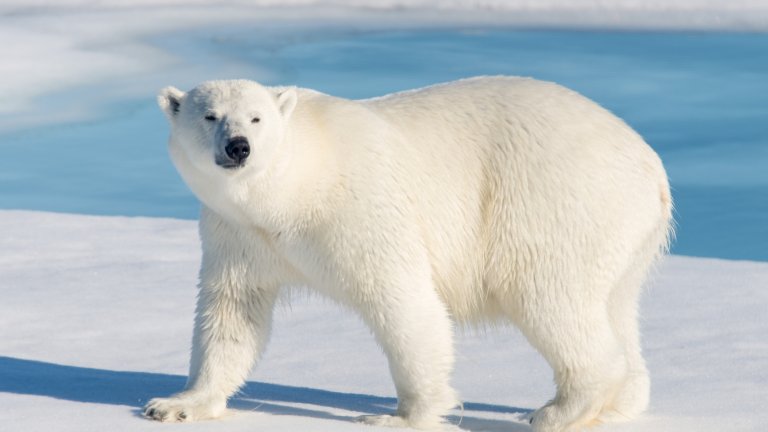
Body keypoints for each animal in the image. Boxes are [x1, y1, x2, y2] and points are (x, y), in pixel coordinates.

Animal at [144, 77, 672, 432]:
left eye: (257, 118)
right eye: (209, 115)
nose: (239, 147)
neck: (294, 188)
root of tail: (651, 164)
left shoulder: (358, 208)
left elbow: (402, 300)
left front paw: (401, 417)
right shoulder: (239, 233)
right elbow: (232, 311)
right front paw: (176, 404)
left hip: (552, 201)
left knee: (549, 297)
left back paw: (556, 411)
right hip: (622, 232)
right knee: (615, 305)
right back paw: (620, 403)